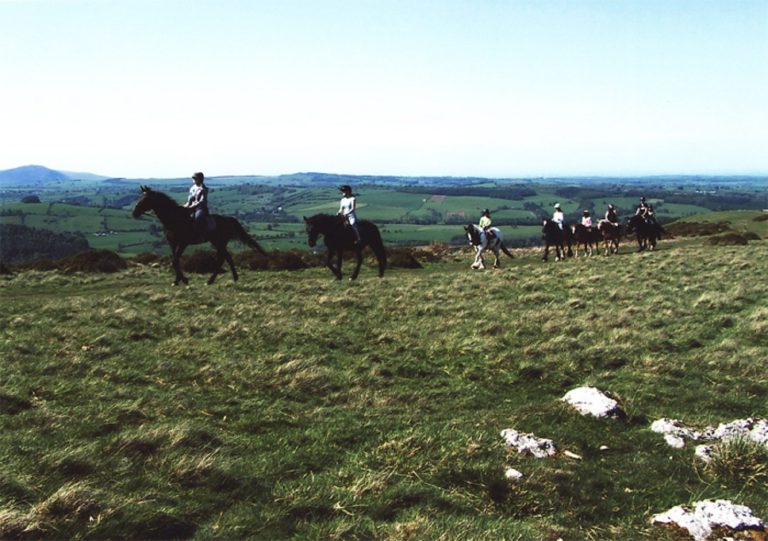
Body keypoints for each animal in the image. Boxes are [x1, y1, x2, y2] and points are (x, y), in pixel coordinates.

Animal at [130, 186, 266, 284]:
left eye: (145, 199)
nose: (134, 212)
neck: (174, 219)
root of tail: (228, 219)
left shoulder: (183, 243)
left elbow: (175, 260)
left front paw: (184, 280)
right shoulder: (172, 243)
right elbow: (175, 261)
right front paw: (177, 280)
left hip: (218, 242)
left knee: (222, 259)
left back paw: (211, 280)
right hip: (219, 243)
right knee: (227, 258)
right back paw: (233, 278)